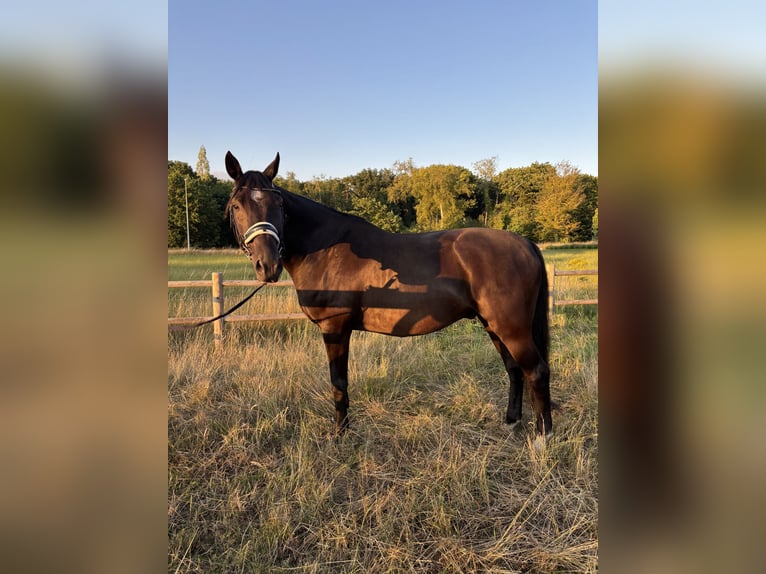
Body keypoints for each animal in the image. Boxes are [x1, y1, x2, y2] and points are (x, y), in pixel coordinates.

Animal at [224, 152, 552, 437]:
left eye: (278, 206)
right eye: (237, 206)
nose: (267, 265)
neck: (326, 248)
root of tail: (525, 243)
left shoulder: (335, 328)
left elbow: (338, 381)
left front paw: (340, 433)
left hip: (511, 328)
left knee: (536, 370)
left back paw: (542, 436)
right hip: (493, 325)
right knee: (514, 370)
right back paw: (511, 421)